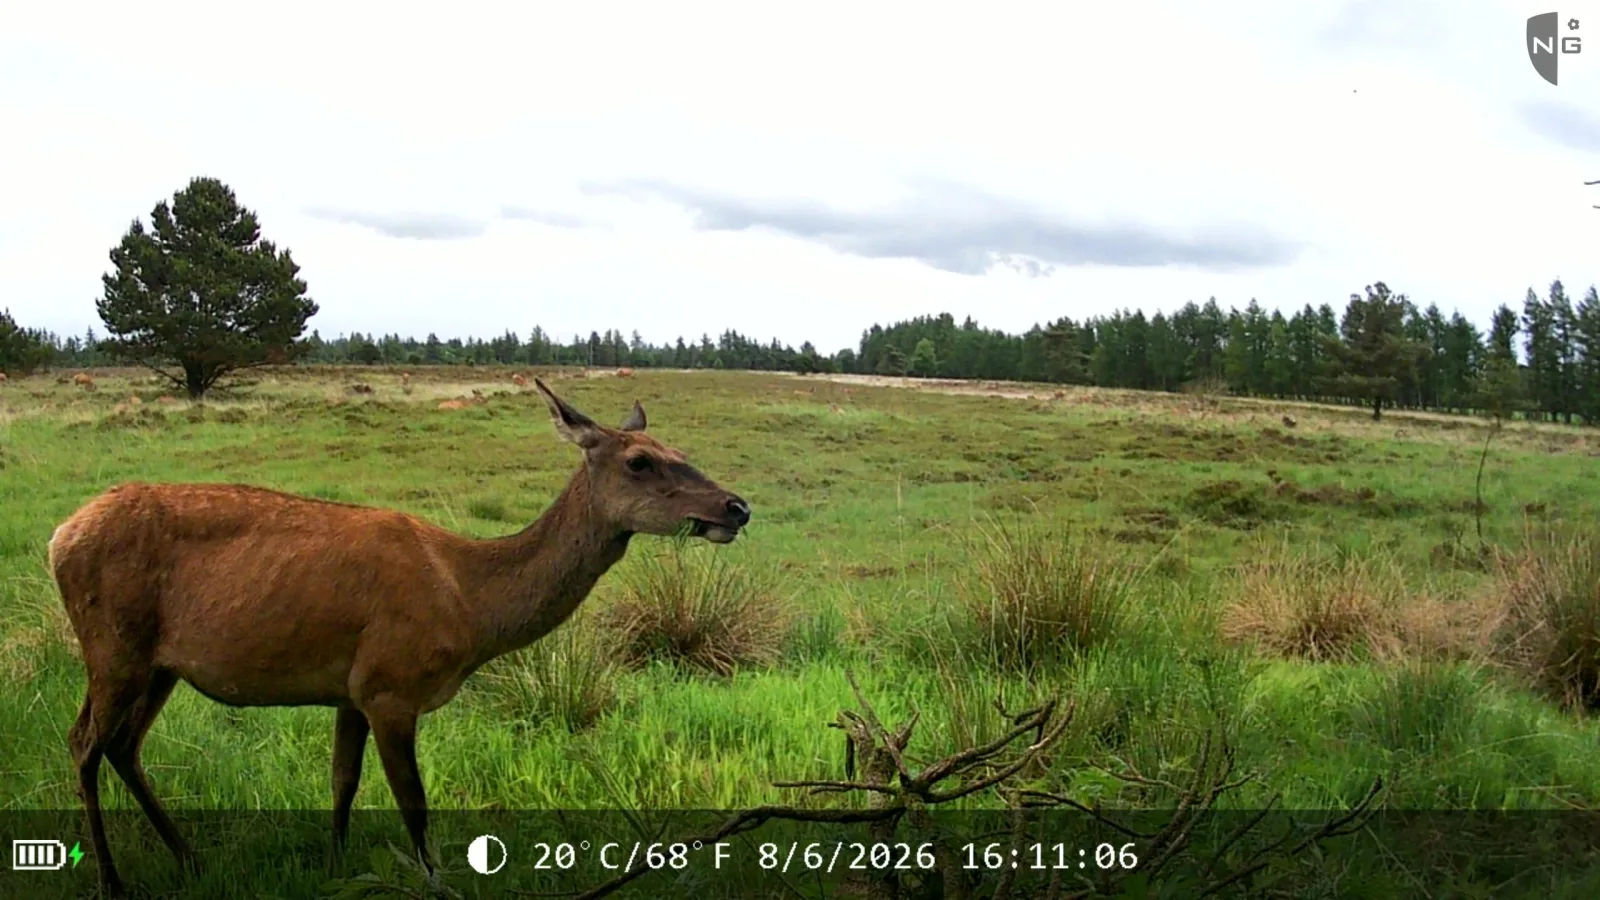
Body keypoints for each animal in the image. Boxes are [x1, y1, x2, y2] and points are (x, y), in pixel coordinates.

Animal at [48, 379, 752, 898]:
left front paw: (335, 865)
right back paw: (112, 880)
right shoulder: (390, 683)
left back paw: (188, 857)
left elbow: (342, 782)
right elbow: (414, 803)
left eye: (675, 447)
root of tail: (59, 536)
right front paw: (436, 882)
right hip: (112, 642)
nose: (736, 507)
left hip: (158, 662)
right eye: (639, 460)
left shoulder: (350, 688)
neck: (469, 604)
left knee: (122, 746)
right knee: (84, 741)